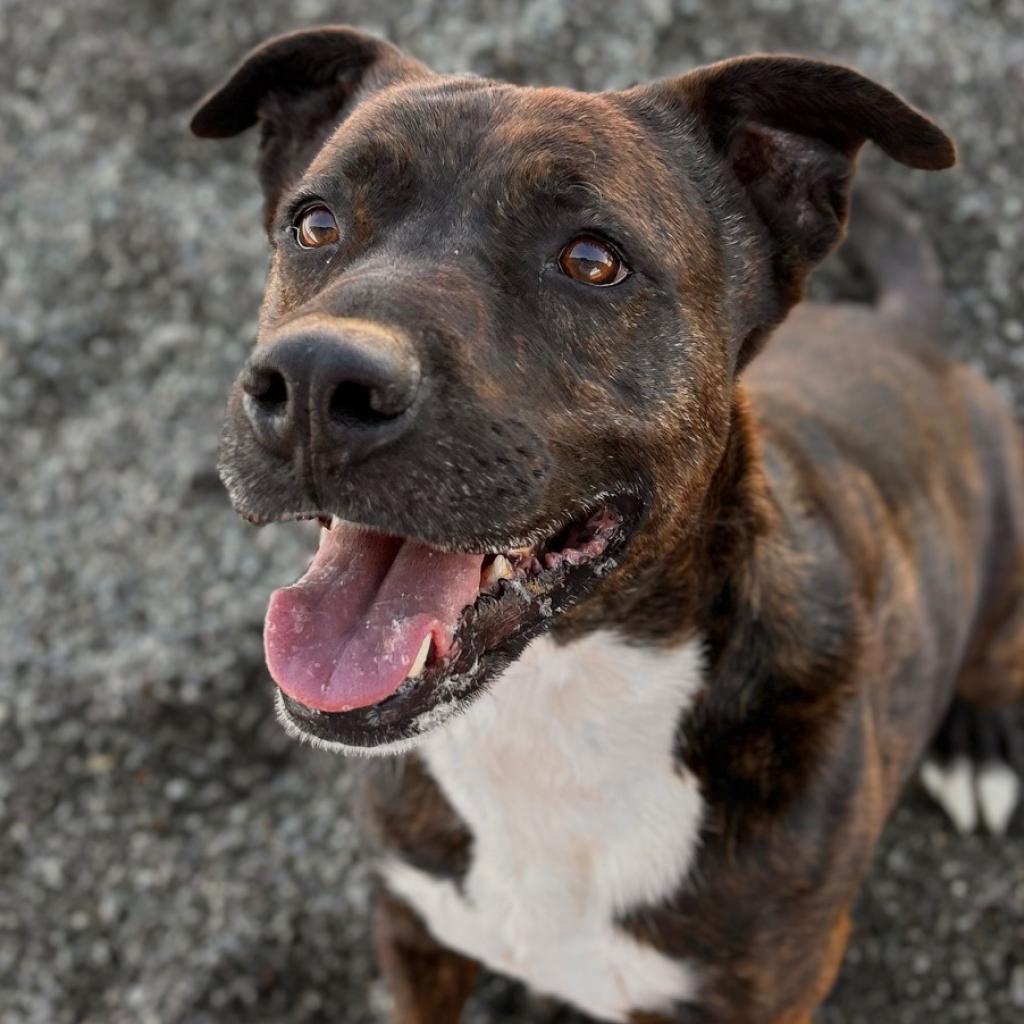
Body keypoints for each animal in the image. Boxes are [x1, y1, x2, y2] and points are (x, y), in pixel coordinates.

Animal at [192, 25, 1024, 1024]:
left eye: (592, 260)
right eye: (314, 225)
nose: (315, 381)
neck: (551, 709)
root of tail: (909, 337)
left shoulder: (775, 986)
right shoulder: (411, 927)